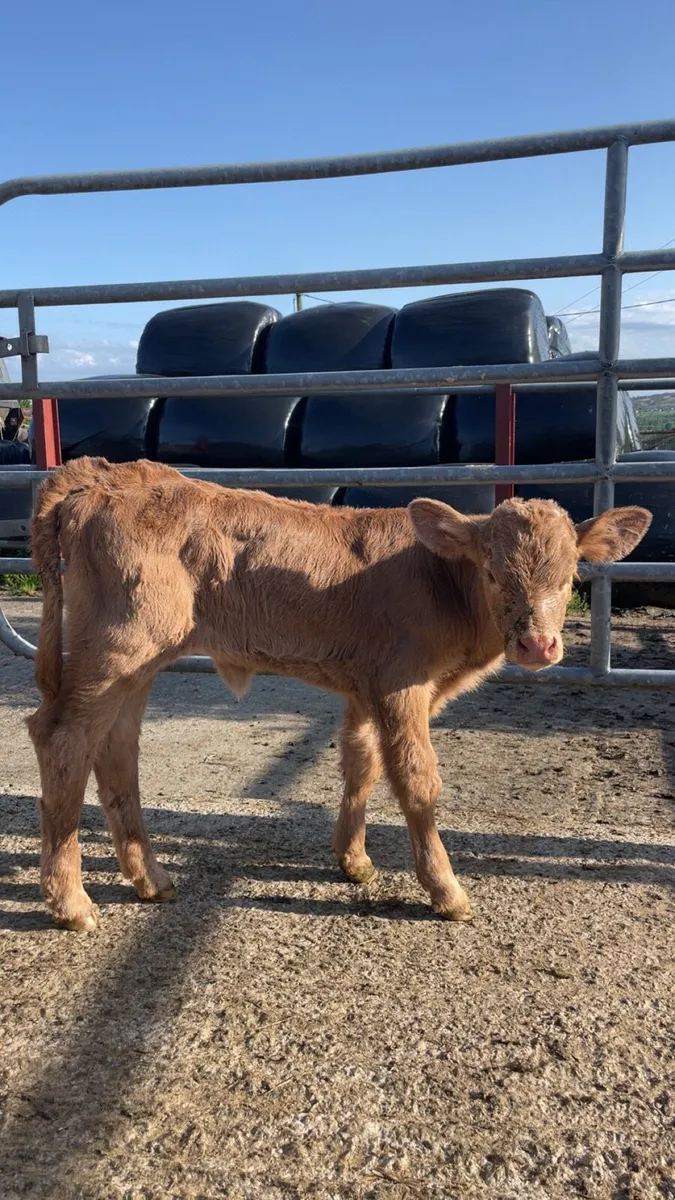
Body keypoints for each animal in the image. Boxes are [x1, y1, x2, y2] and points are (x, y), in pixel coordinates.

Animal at [26, 457, 651, 931]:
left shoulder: (366, 687)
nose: (538, 644)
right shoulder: (401, 683)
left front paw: (354, 860)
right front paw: (445, 889)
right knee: (62, 739)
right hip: (119, 648)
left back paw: (151, 880)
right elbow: (417, 778)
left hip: (139, 661)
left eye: (570, 576)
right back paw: (71, 903)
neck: (438, 579)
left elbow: (362, 761)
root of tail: (102, 476)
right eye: (494, 574)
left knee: (116, 750)